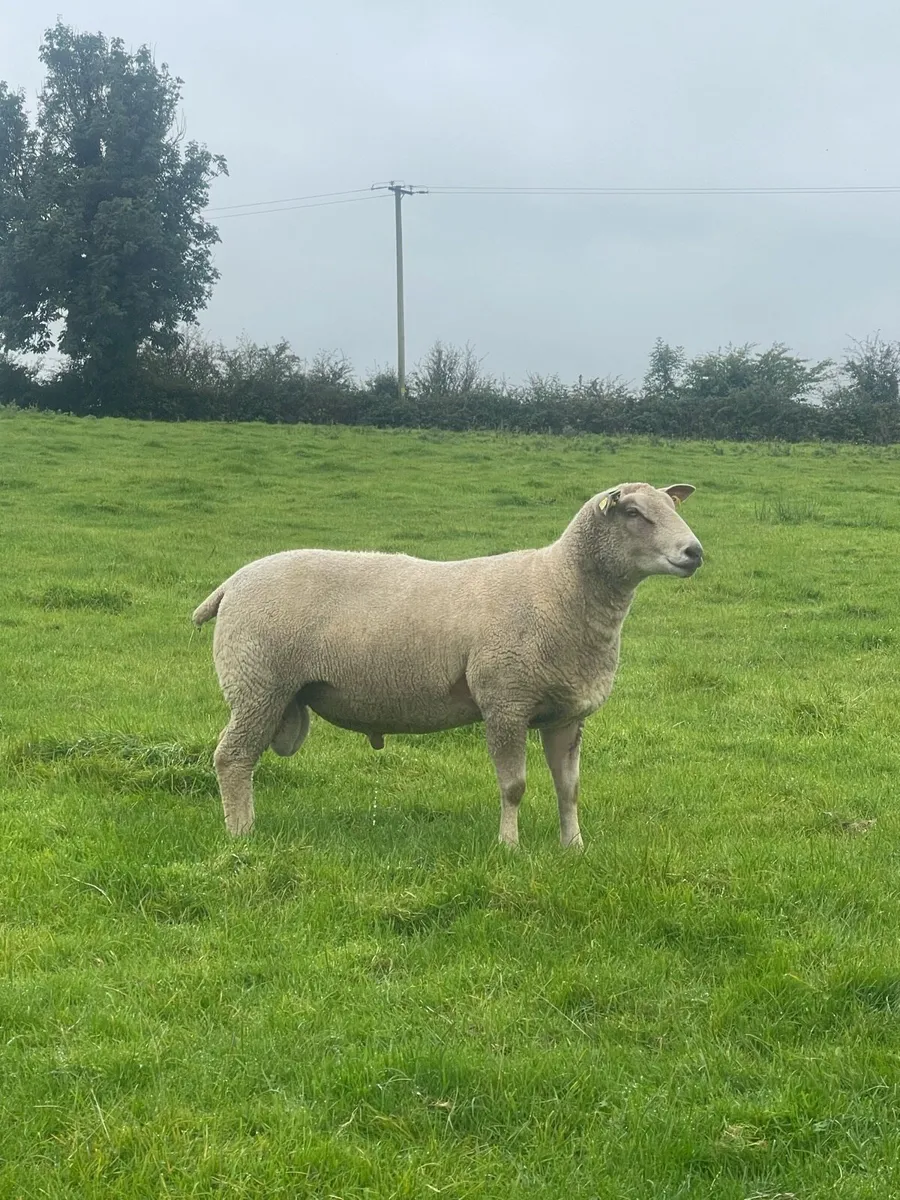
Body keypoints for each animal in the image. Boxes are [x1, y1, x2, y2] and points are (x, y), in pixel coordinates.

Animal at [192, 482, 703, 848]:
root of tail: (232, 583)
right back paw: (242, 835)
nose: (694, 552)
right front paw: (509, 847)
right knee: (232, 758)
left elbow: (569, 789)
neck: (559, 587)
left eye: (671, 507)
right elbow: (514, 786)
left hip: (268, 691)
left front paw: (573, 848)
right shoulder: (505, 702)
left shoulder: (566, 714)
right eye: (634, 513)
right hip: (257, 683)